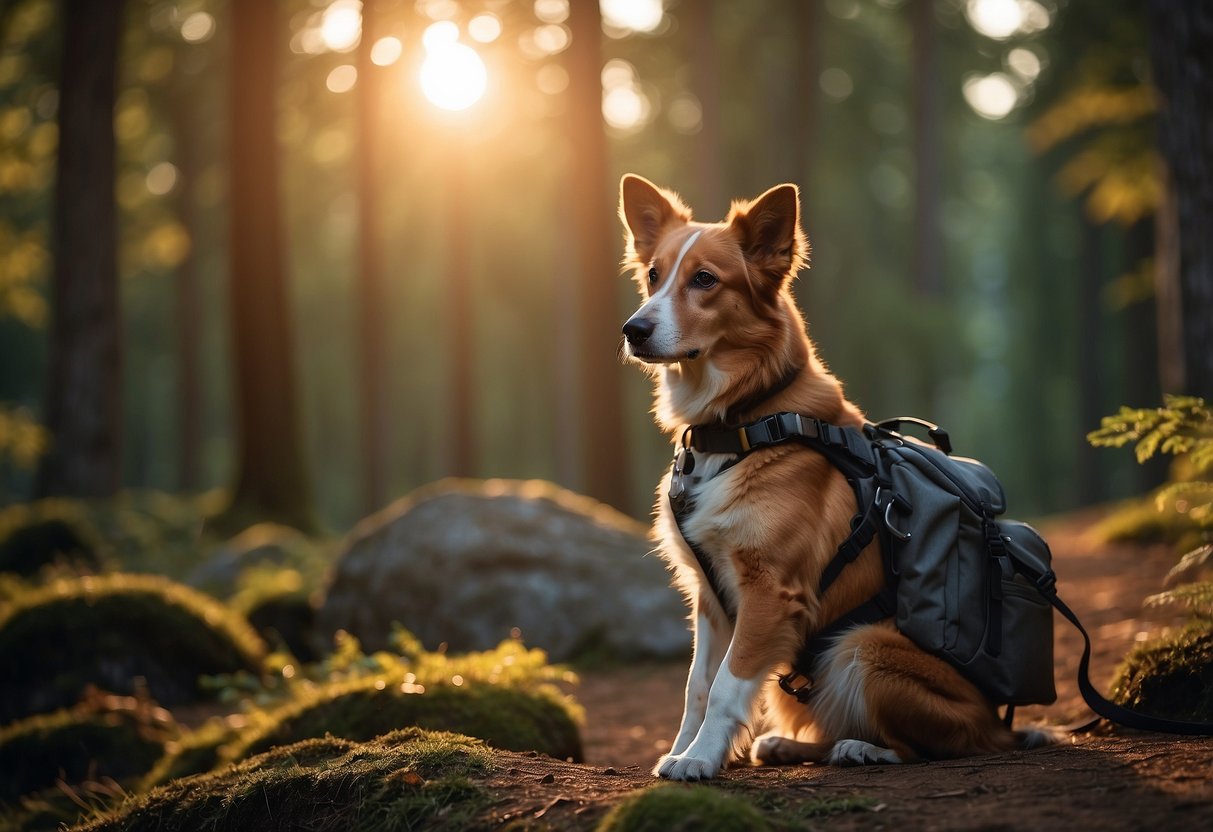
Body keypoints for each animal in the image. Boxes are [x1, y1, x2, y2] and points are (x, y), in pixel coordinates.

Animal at [616, 174, 1052, 781]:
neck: (746, 419)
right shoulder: (710, 597)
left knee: (941, 744)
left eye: (704, 279)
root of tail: (1000, 722)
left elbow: (726, 686)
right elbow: (696, 687)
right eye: (654, 276)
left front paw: (700, 759)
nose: (634, 330)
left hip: (860, 646)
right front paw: (683, 750)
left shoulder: (770, 591)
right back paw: (785, 745)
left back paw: (864, 749)